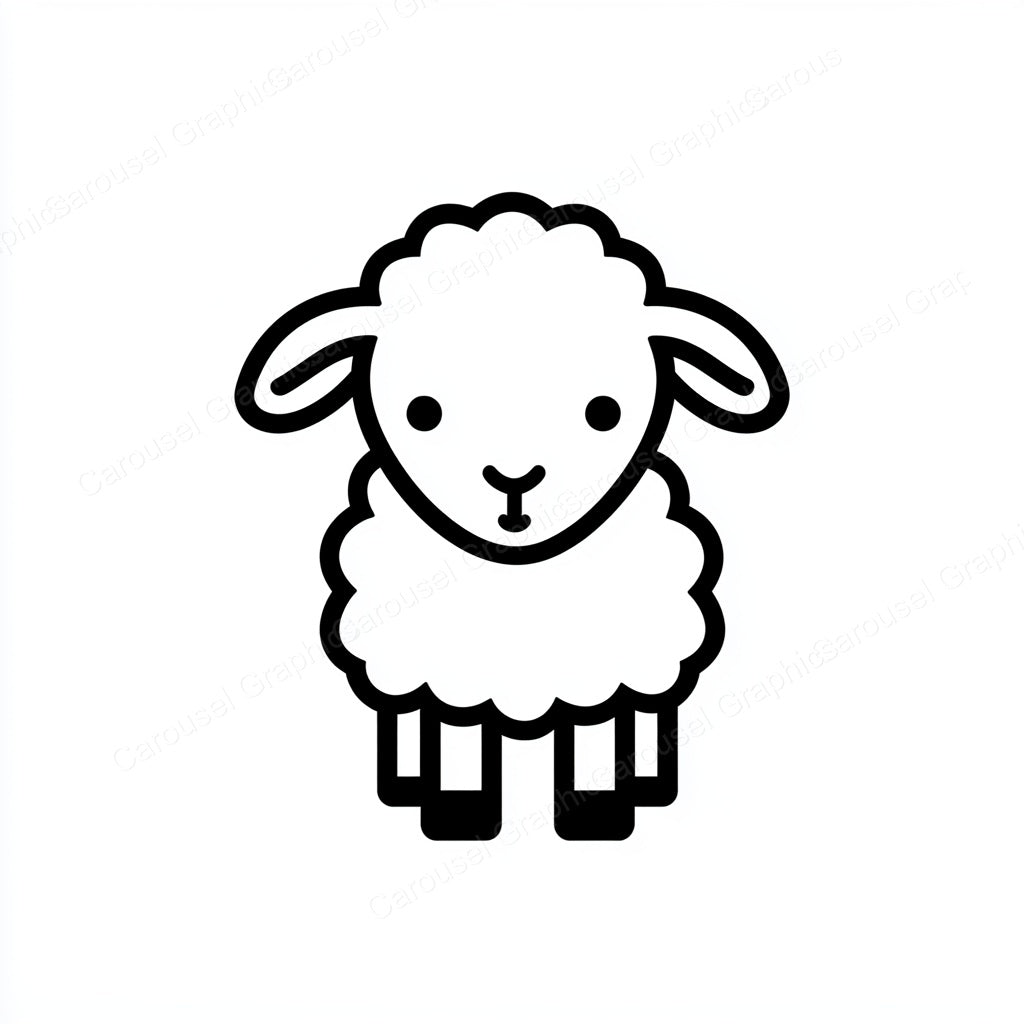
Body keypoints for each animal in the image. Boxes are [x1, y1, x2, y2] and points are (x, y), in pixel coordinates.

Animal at [234, 192, 789, 841]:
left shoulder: (607, 671)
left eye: (605, 412)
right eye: (422, 413)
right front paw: (458, 814)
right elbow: (457, 744)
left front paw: (596, 813)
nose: (514, 481)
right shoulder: (444, 677)